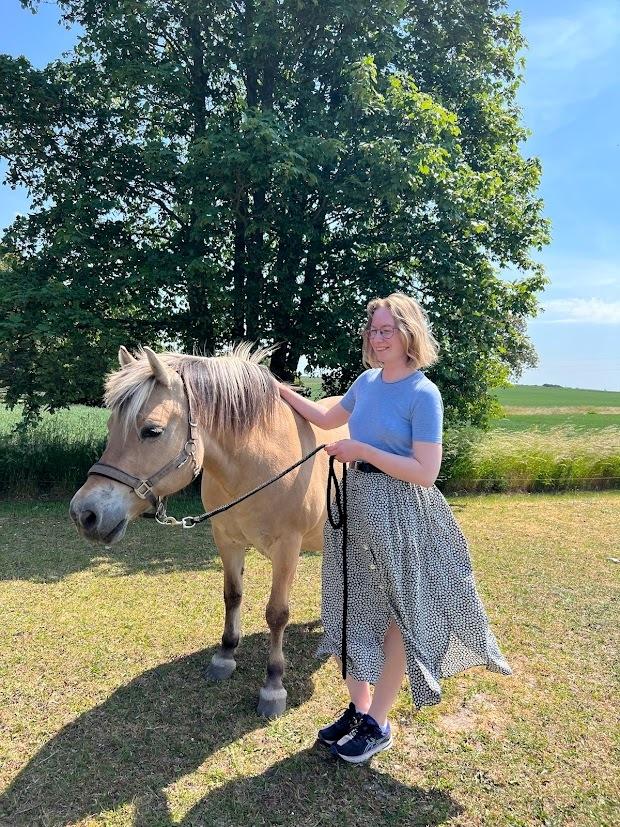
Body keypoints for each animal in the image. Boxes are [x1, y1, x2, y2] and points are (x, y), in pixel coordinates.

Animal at [69, 345, 348, 717]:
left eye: (152, 431)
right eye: (111, 425)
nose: (84, 513)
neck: (259, 465)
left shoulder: (287, 548)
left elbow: (277, 614)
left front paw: (273, 685)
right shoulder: (226, 541)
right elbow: (232, 596)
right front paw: (225, 656)